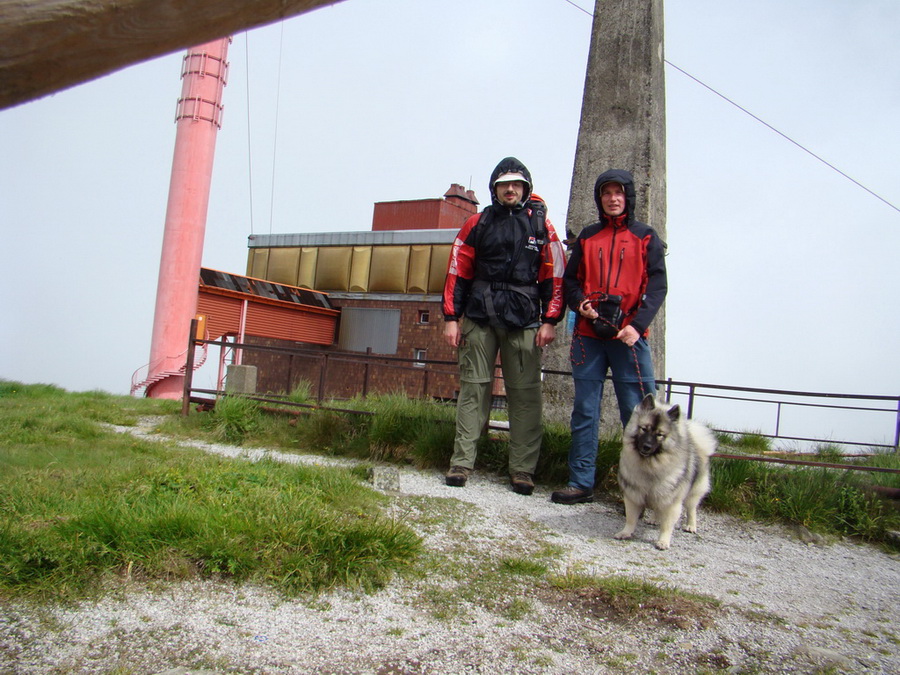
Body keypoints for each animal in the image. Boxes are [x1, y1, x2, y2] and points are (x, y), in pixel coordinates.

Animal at [616, 396, 712, 548]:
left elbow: (667, 525)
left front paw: (663, 541)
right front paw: (625, 532)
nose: (647, 446)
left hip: (693, 491)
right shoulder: (633, 495)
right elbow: (630, 518)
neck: (649, 466)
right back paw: (654, 519)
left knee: (691, 508)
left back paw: (690, 525)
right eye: (644, 429)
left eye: (660, 435)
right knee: (657, 508)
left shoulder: (670, 501)